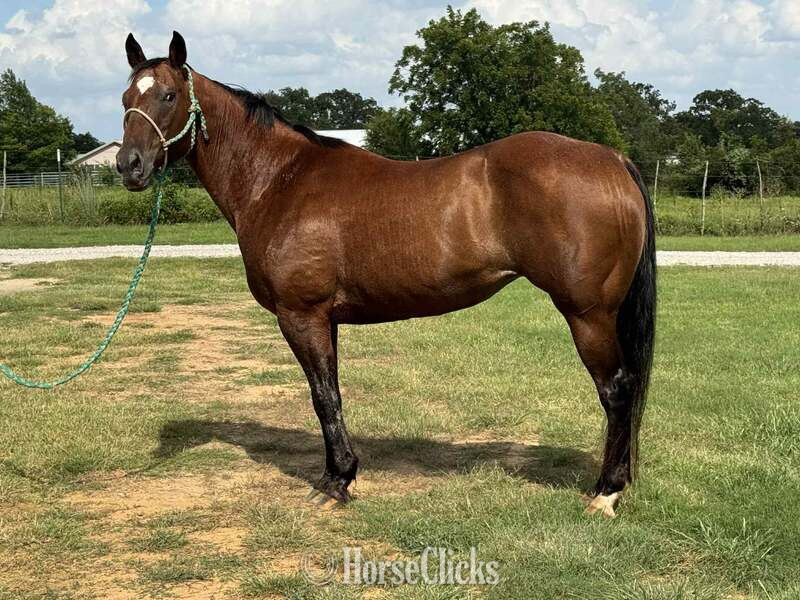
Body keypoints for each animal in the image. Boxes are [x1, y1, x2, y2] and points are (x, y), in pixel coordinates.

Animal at [117, 31, 656, 518]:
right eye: (125, 98)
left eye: (168, 95)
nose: (129, 165)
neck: (280, 180)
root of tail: (612, 159)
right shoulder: (324, 319)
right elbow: (330, 394)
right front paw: (339, 474)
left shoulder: (301, 315)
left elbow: (323, 397)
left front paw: (336, 483)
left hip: (588, 313)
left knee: (617, 390)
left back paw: (606, 493)